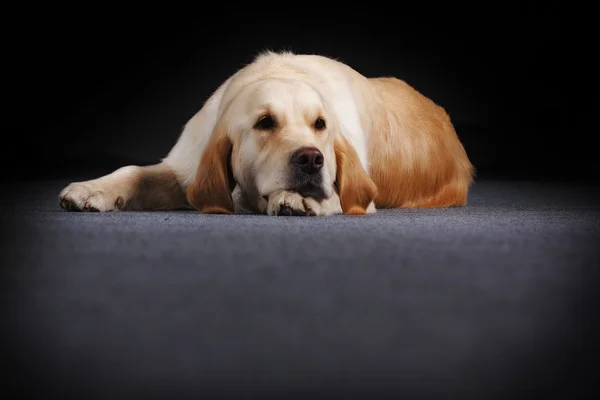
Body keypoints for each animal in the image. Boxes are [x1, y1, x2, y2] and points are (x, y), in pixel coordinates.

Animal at [58, 52, 476, 219]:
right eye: (264, 123)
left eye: (320, 125)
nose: (311, 159)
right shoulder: (187, 167)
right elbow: (134, 171)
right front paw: (91, 189)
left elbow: (338, 194)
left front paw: (301, 198)